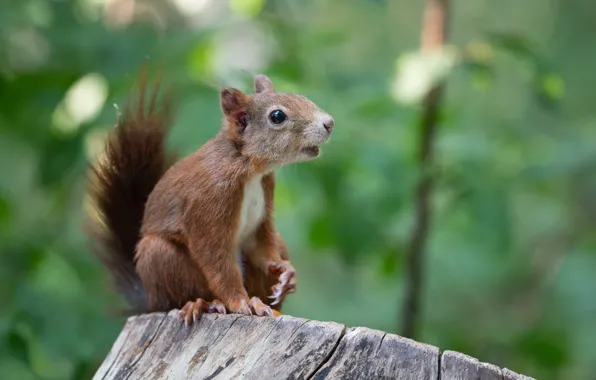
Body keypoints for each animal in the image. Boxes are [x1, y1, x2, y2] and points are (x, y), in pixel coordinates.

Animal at [88, 72, 332, 326]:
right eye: (277, 116)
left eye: (301, 97)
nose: (329, 123)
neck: (247, 167)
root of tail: (149, 300)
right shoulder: (209, 200)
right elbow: (216, 260)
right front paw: (241, 303)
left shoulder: (265, 199)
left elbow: (261, 245)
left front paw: (285, 271)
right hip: (159, 258)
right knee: (175, 293)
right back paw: (204, 304)